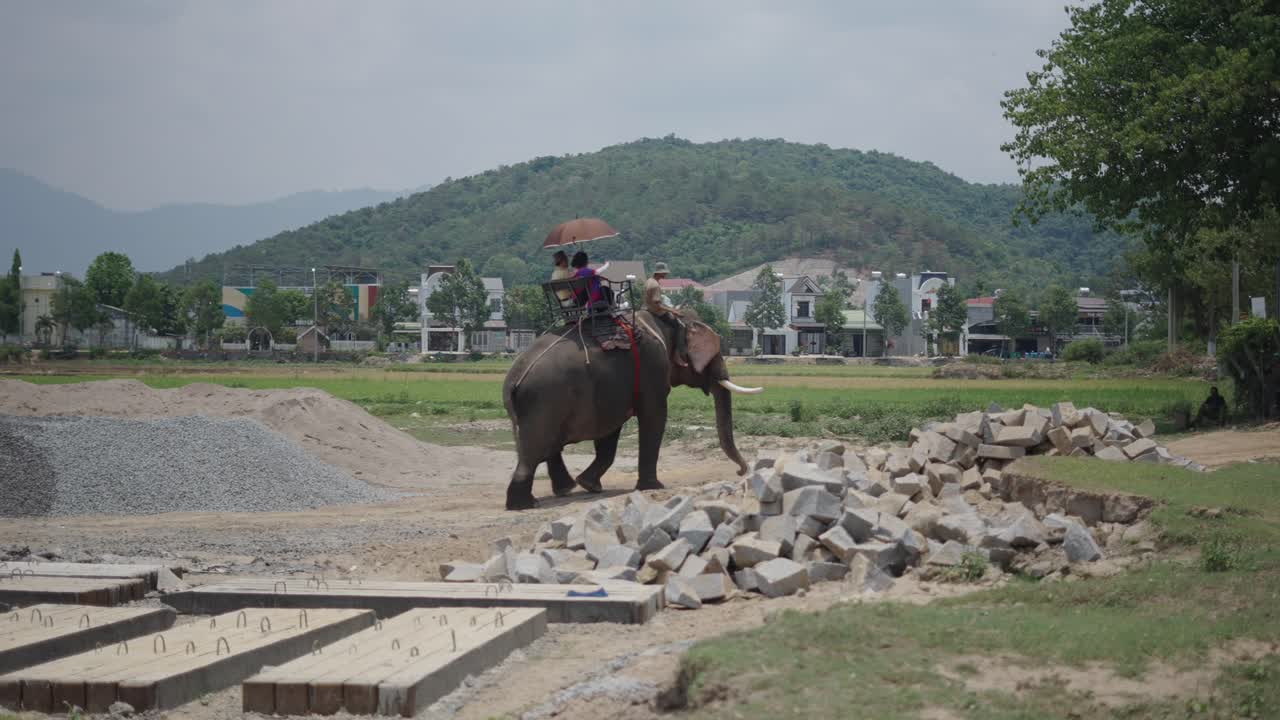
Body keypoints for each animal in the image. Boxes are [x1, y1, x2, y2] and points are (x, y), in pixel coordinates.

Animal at [502, 309, 763, 510]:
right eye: (714, 355)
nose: (741, 472)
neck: (668, 319)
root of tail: (514, 379)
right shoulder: (652, 368)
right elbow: (654, 417)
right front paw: (653, 487)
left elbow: (610, 433)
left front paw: (590, 485)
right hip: (544, 401)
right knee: (535, 449)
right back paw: (525, 504)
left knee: (546, 446)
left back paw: (563, 490)